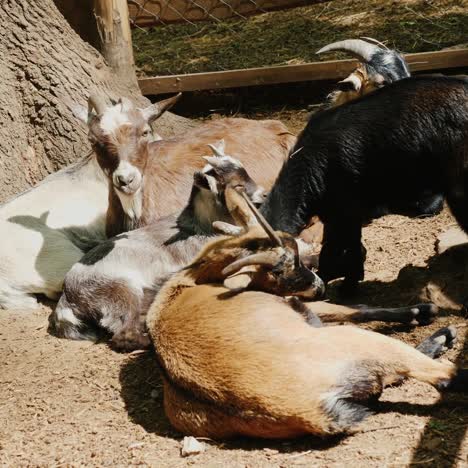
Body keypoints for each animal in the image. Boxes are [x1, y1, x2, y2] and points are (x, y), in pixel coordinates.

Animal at [47, 145, 266, 352]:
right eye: (237, 185)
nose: (263, 194)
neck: (199, 225)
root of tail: (68, 296)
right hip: (120, 291)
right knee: (124, 332)